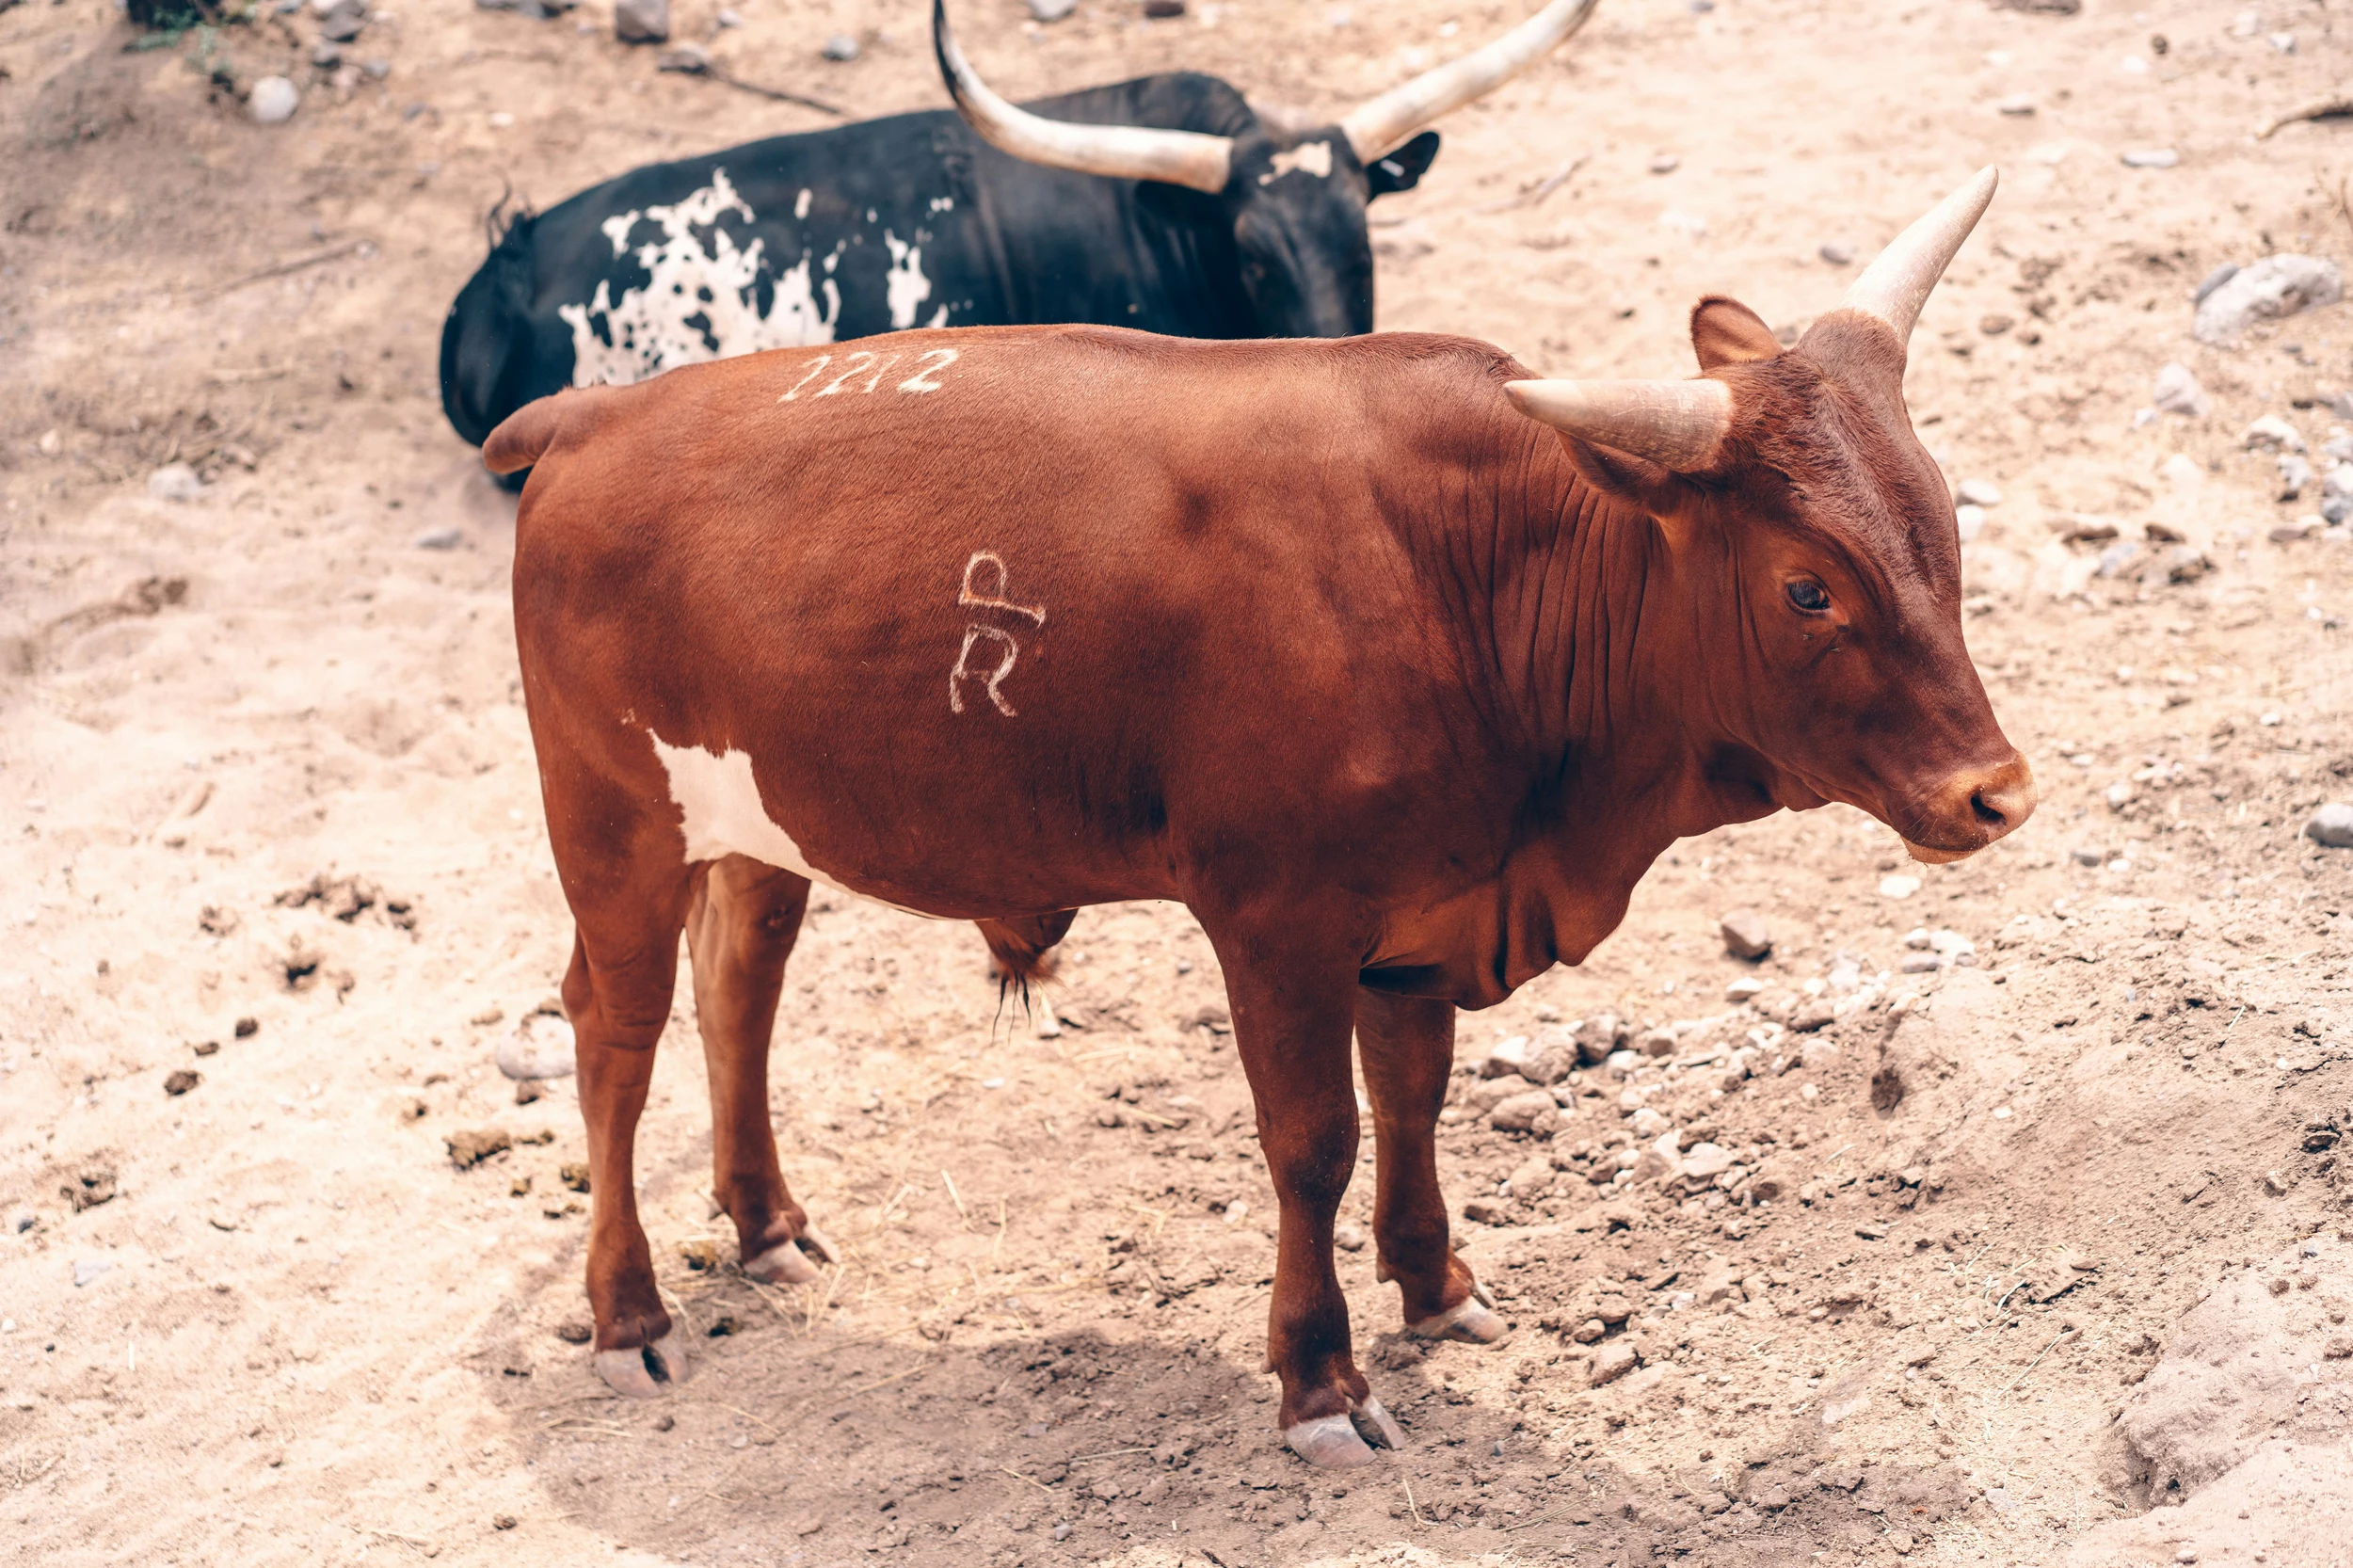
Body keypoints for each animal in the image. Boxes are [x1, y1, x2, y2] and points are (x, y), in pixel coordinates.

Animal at [485, 168, 2033, 1468]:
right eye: (1807, 585)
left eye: (1936, 521)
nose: (1997, 791)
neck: (1462, 572)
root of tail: (596, 417)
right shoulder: (1277, 922)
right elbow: (1314, 1141)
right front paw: (1321, 1381)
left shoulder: (1422, 913)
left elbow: (1412, 1093)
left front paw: (1436, 1283)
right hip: (610, 823)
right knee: (614, 1032)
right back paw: (628, 1313)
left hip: (756, 821)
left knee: (738, 984)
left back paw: (765, 1225)